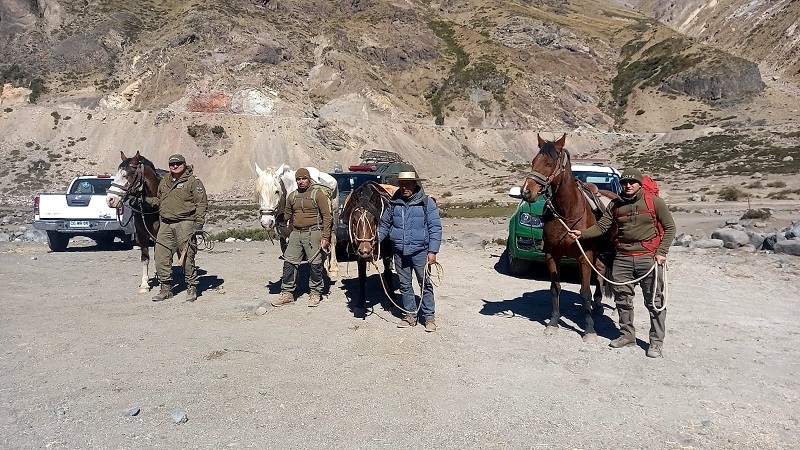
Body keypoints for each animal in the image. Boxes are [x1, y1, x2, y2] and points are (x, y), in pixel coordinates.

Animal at [106, 151, 164, 292]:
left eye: (125, 175)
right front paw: (144, 285)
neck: (150, 208)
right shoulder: (141, 234)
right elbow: (145, 258)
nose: (110, 199)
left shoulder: (159, 234)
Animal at [340, 181, 396, 318]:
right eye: (354, 220)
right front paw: (360, 304)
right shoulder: (358, 254)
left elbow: (388, 275)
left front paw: (392, 302)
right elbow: (362, 277)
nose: (365, 251)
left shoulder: (388, 253)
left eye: (374, 219)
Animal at [520, 134, 616, 342]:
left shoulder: (583, 256)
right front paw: (553, 323)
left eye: (549, 163)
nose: (526, 191)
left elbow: (584, 292)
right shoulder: (552, 254)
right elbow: (555, 288)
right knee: (601, 270)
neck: (568, 212)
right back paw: (598, 304)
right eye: (533, 161)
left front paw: (589, 329)